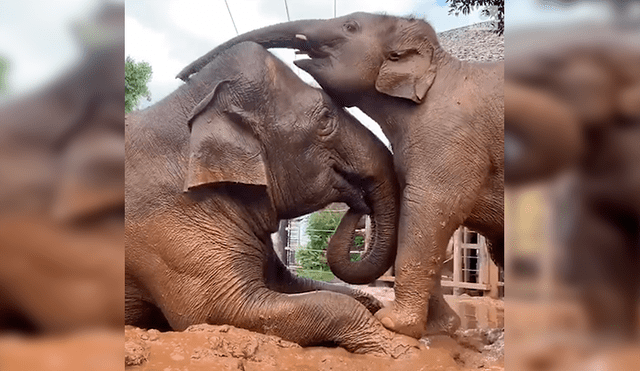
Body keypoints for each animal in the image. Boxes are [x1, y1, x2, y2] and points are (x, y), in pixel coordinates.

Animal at [124, 41, 420, 358]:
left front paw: (378, 309)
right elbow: (217, 310)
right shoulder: (169, 227)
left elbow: (296, 284)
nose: (358, 204)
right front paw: (398, 350)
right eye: (326, 119)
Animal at [176, 10, 504, 340]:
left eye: (350, 26)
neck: (441, 62)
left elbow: (431, 207)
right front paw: (440, 328)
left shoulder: (452, 136)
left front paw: (392, 323)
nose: (182, 76)